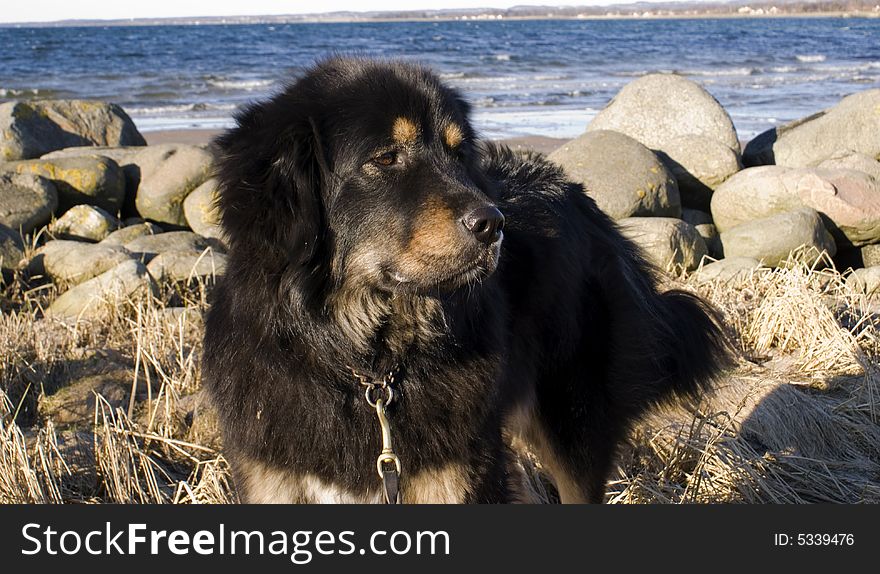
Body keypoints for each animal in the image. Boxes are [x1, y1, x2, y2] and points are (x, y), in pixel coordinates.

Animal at [203, 56, 732, 502]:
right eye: (386, 157)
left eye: (458, 155)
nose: (493, 224)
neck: (366, 367)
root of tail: (585, 201)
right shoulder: (272, 479)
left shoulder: (457, 472)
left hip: (572, 424)